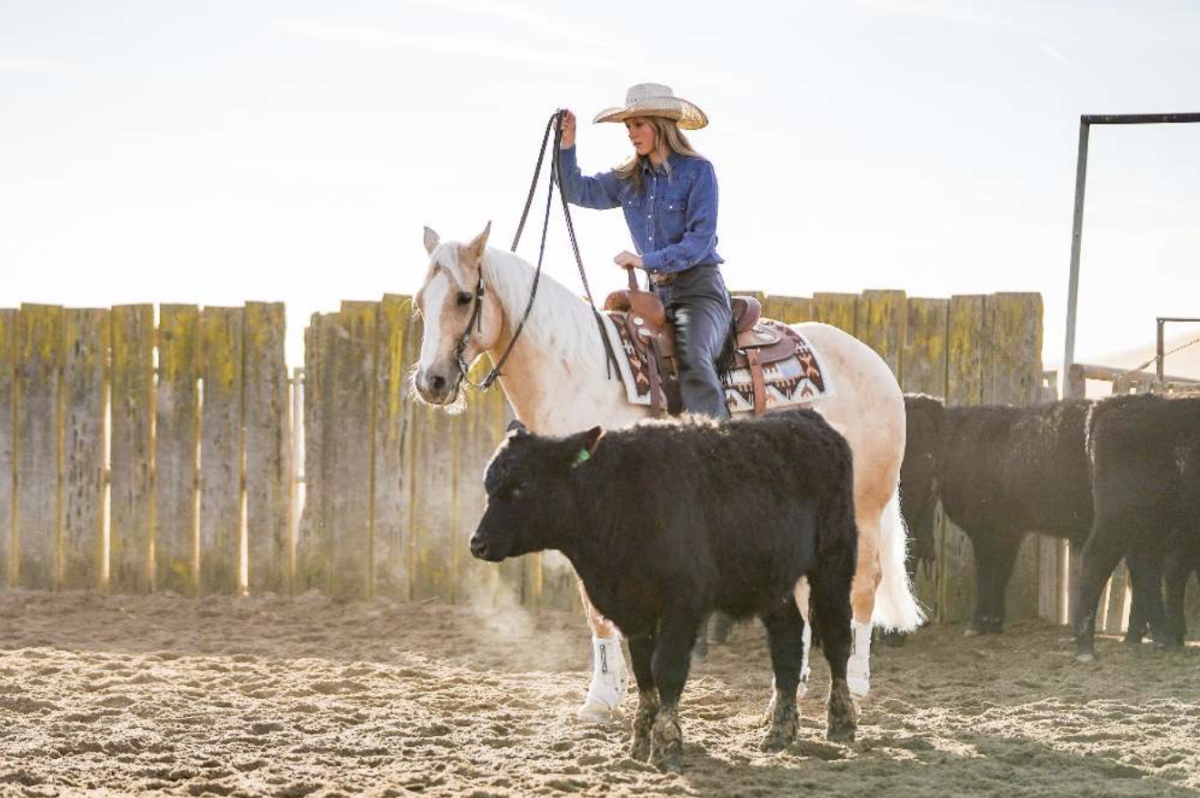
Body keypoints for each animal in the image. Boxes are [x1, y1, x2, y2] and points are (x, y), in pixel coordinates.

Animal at [412, 222, 916, 720]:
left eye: (463, 297)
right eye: (419, 301)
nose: (430, 382)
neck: (580, 374)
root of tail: (874, 363)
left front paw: (606, 694)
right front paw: (606, 694)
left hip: (864, 505)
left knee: (864, 582)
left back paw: (857, 680)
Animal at [470, 408, 864, 768]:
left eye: (522, 484)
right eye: (489, 485)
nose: (478, 544)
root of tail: (810, 419)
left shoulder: (682, 603)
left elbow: (667, 669)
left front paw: (666, 743)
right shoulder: (633, 609)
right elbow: (644, 672)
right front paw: (641, 739)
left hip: (835, 558)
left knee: (837, 637)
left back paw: (842, 720)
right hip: (770, 579)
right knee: (787, 640)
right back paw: (779, 731)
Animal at [902, 398, 1099, 633]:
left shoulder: (986, 530)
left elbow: (986, 573)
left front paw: (978, 622)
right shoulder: (1009, 531)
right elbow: (1001, 574)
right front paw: (994, 622)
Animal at [1075, 391, 1195, 657]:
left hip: (1151, 525)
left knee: (1148, 568)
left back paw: (1163, 636)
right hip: (1119, 519)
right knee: (1098, 559)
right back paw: (1085, 646)